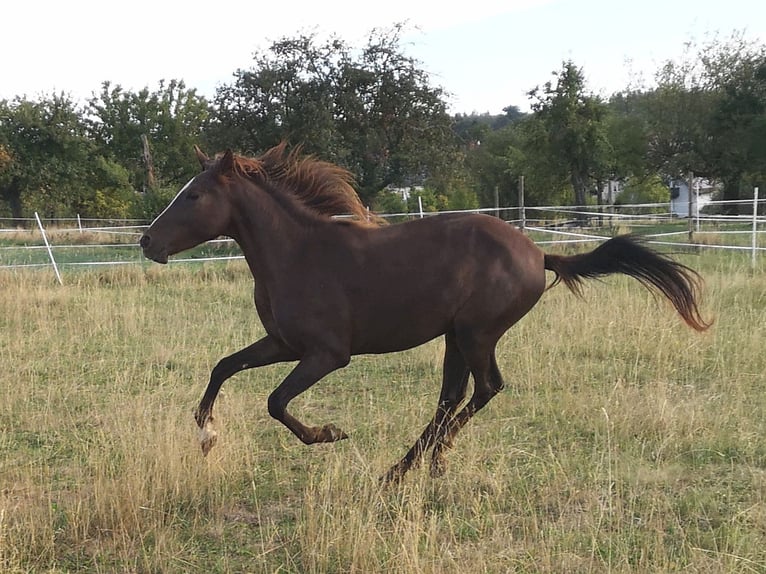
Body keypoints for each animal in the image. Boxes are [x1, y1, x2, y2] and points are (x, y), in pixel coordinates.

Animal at [139, 144, 710, 483]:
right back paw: (417, 464)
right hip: (456, 336)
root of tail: (538, 253)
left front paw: (330, 434)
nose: (147, 242)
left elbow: (276, 403)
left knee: (484, 388)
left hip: (477, 333)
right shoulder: (283, 345)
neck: (296, 253)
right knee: (453, 396)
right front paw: (206, 435)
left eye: (193, 195)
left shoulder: (326, 354)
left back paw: (412, 465)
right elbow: (222, 366)